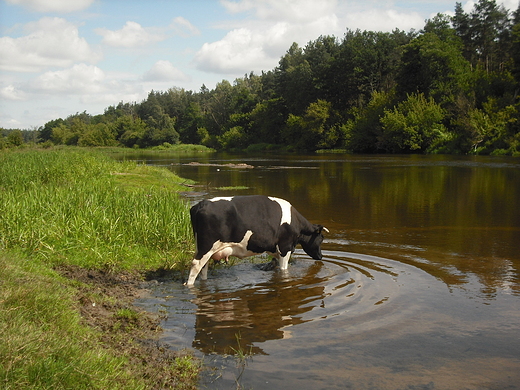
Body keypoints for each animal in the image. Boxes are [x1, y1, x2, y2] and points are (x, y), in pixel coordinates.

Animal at [185, 197, 328, 284]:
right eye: (321, 239)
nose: (321, 256)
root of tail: (201, 204)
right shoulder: (285, 248)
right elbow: (284, 270)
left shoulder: (276, 250)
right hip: (206, 246)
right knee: (196, 265)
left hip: (202, 247)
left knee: (203, 268)